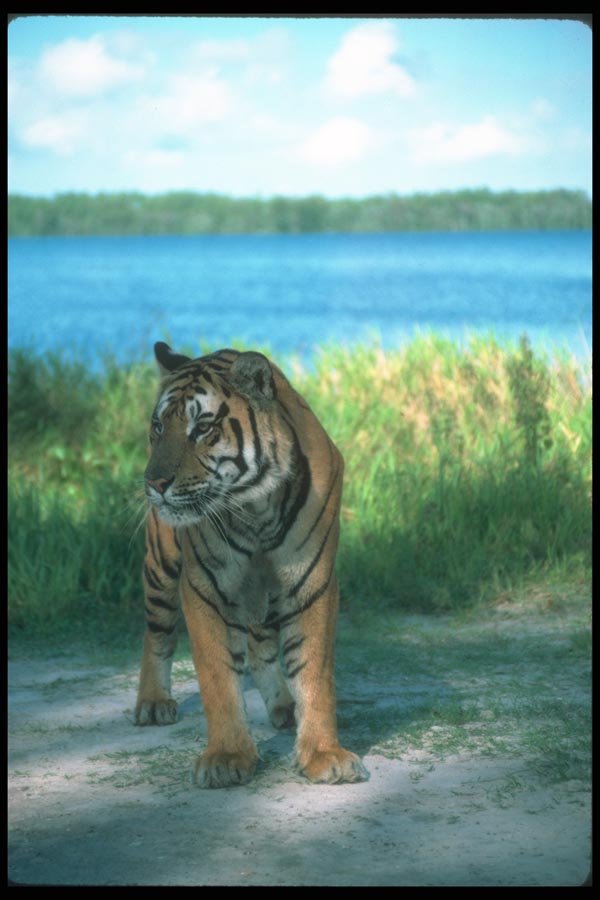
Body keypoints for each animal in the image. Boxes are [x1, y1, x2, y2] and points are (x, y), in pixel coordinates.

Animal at [134, 341, 369, 788]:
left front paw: (323, 755)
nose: (154, 483)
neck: (254, 508)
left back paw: (282, 706)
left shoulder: (311, 581)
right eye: (157, 427)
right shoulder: (204, 586)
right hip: (161, 569)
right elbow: (217, 675)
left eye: (202, 428)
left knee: (261, 647)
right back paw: (153, 703)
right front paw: (227, 757)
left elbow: (313, 670)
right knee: (157, 634)